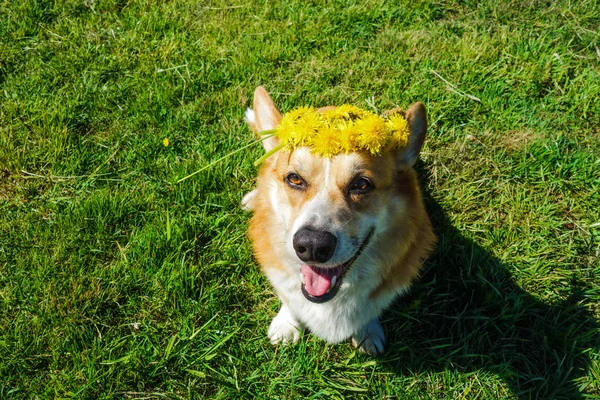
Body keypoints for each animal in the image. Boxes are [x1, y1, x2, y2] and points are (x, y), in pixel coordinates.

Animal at [244, 86, 436, 354]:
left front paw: (367, 332)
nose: (312, 246)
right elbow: (289, 301)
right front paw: (286, 326)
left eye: (361, 184)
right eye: (294, 179)